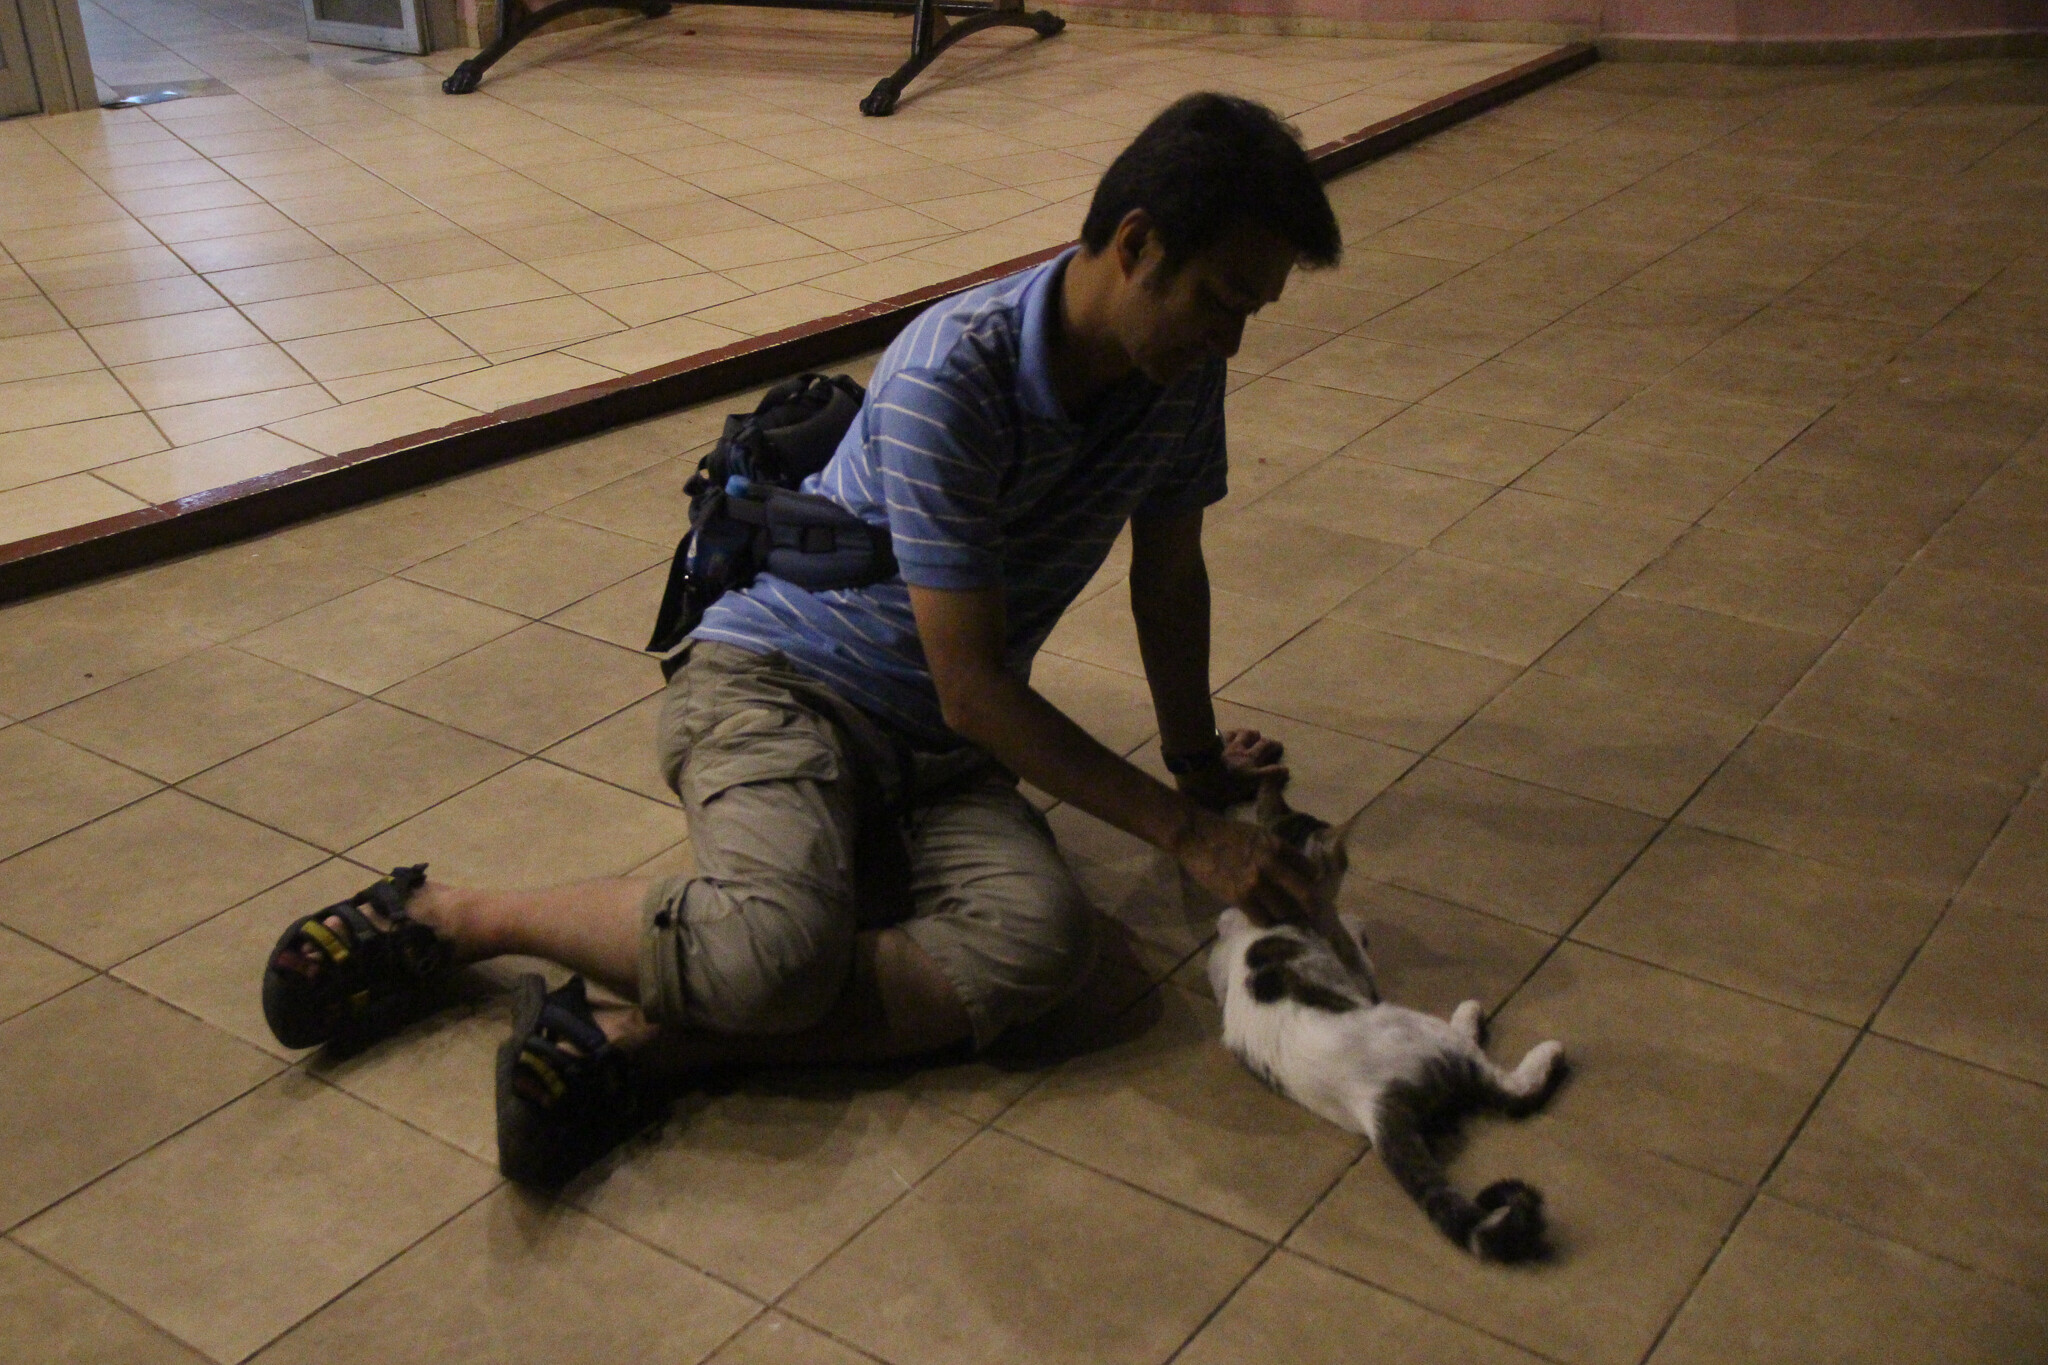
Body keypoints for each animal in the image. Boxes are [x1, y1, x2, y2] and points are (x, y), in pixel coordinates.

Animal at [1207, 778, 1568, 1262]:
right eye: (1341, 860)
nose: (1350, 861)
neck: (1267, 923)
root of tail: (1372, 1104)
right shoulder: (1355, 959)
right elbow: (1355, 935)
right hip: (1428, 1032)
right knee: (1512, 1087)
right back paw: (1502, 1030)